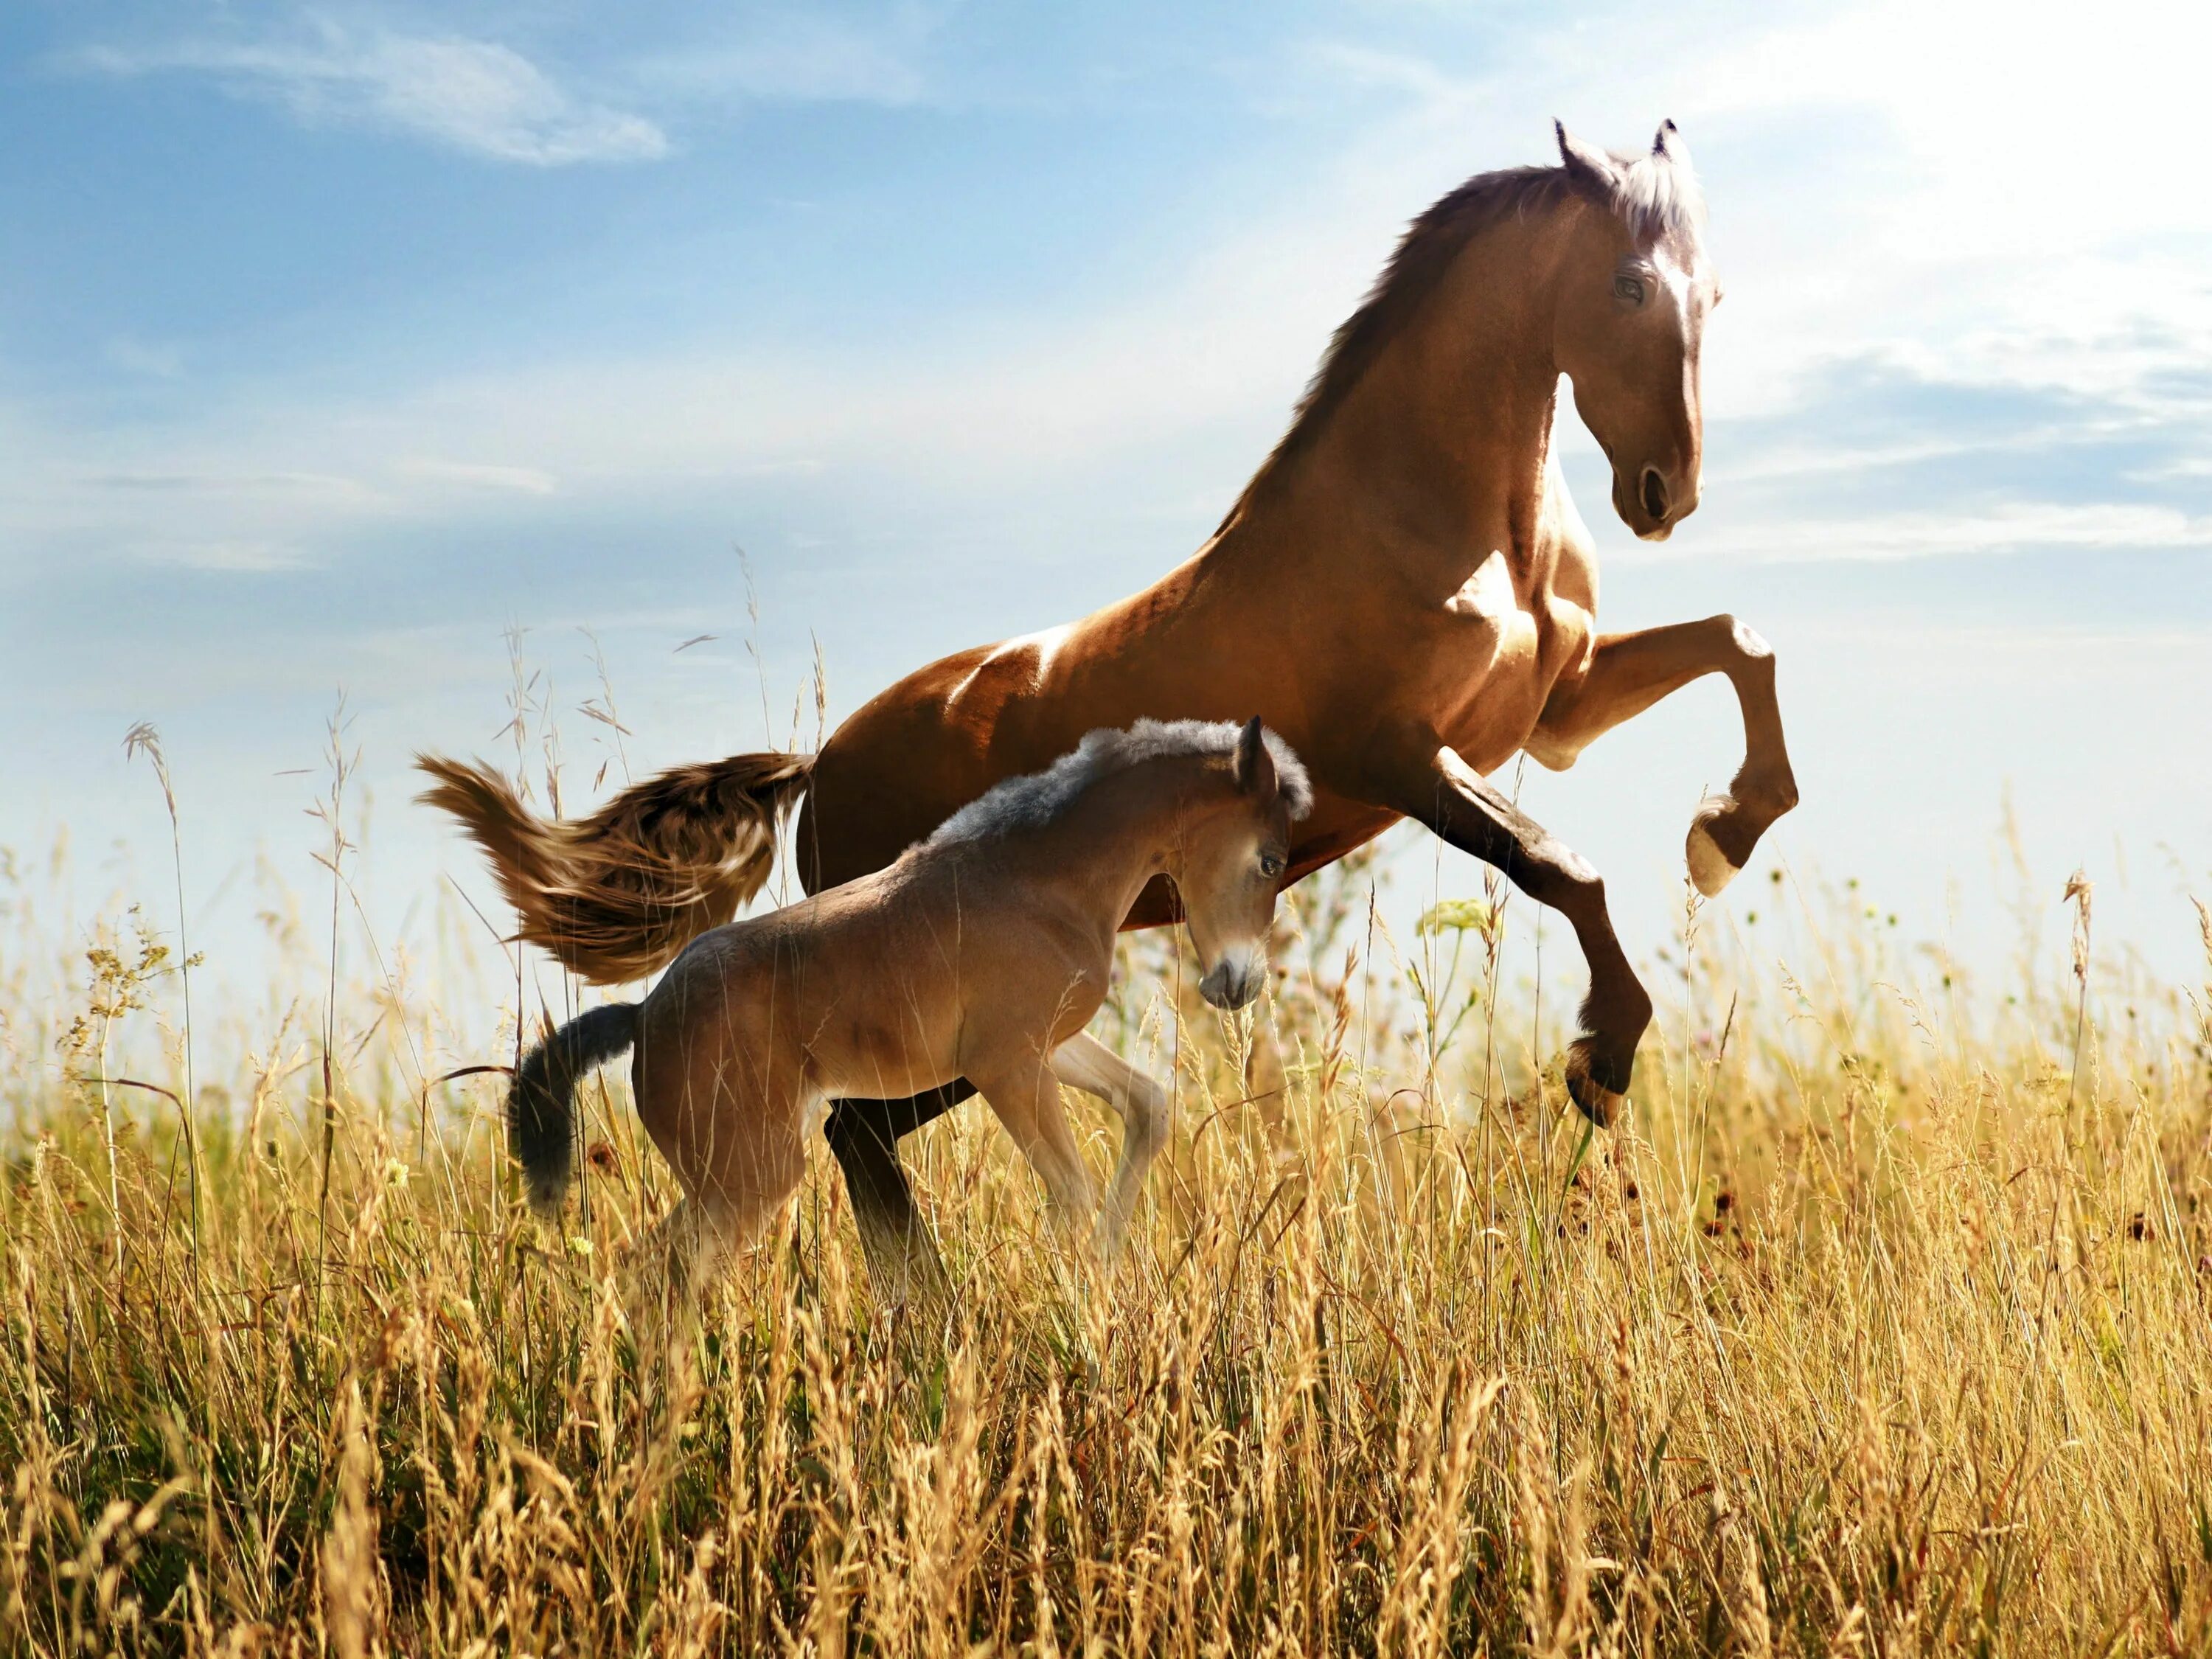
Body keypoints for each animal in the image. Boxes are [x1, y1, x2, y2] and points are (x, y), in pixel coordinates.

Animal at [504, 717, 1301, 1283]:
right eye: (1271, 860)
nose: (1237, 983)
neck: (1039, 881)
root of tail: (642, 1018)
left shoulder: (1051, 1045)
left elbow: (1149, 1108)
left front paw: (1112, 1265)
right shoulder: (1008, 1066)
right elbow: (1071, 1196)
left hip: (731, 1179)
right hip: (748, 1176)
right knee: (654, 1276)